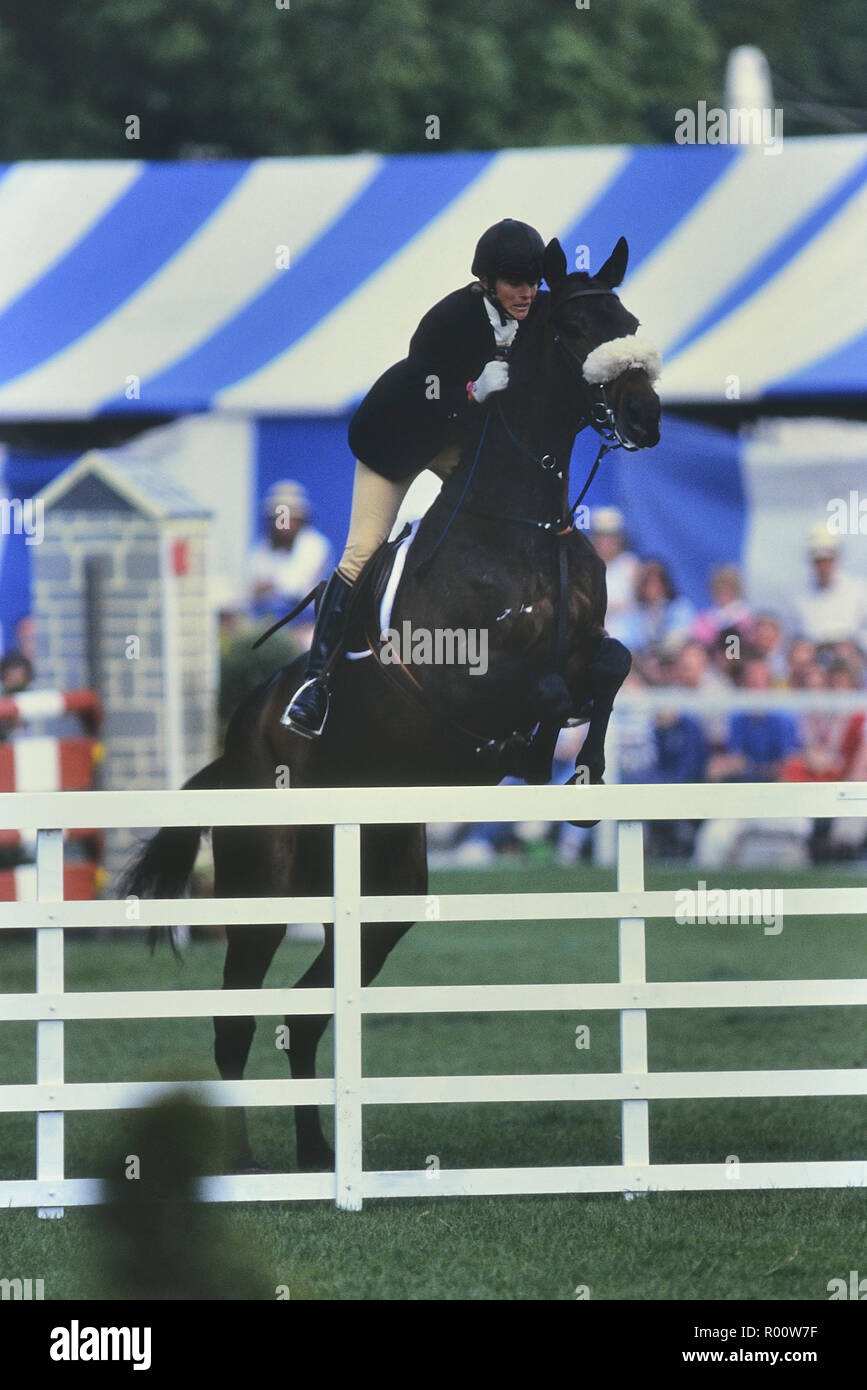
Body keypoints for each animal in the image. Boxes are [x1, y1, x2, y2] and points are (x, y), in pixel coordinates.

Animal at [122, 236, 661, 1173]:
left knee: (302, 1018)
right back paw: (245, 1167)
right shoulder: (459, 676)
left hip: (382, 895)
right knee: (235, 1022)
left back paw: (314, 1155)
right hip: (261, 887)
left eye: (626, 319)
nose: (646, 414)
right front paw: (533, 753)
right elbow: (546, 688)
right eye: (573, 329)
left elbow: (610, 665)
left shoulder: (586, 643)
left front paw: (585, 775)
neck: (524, 521)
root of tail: (231, 751)